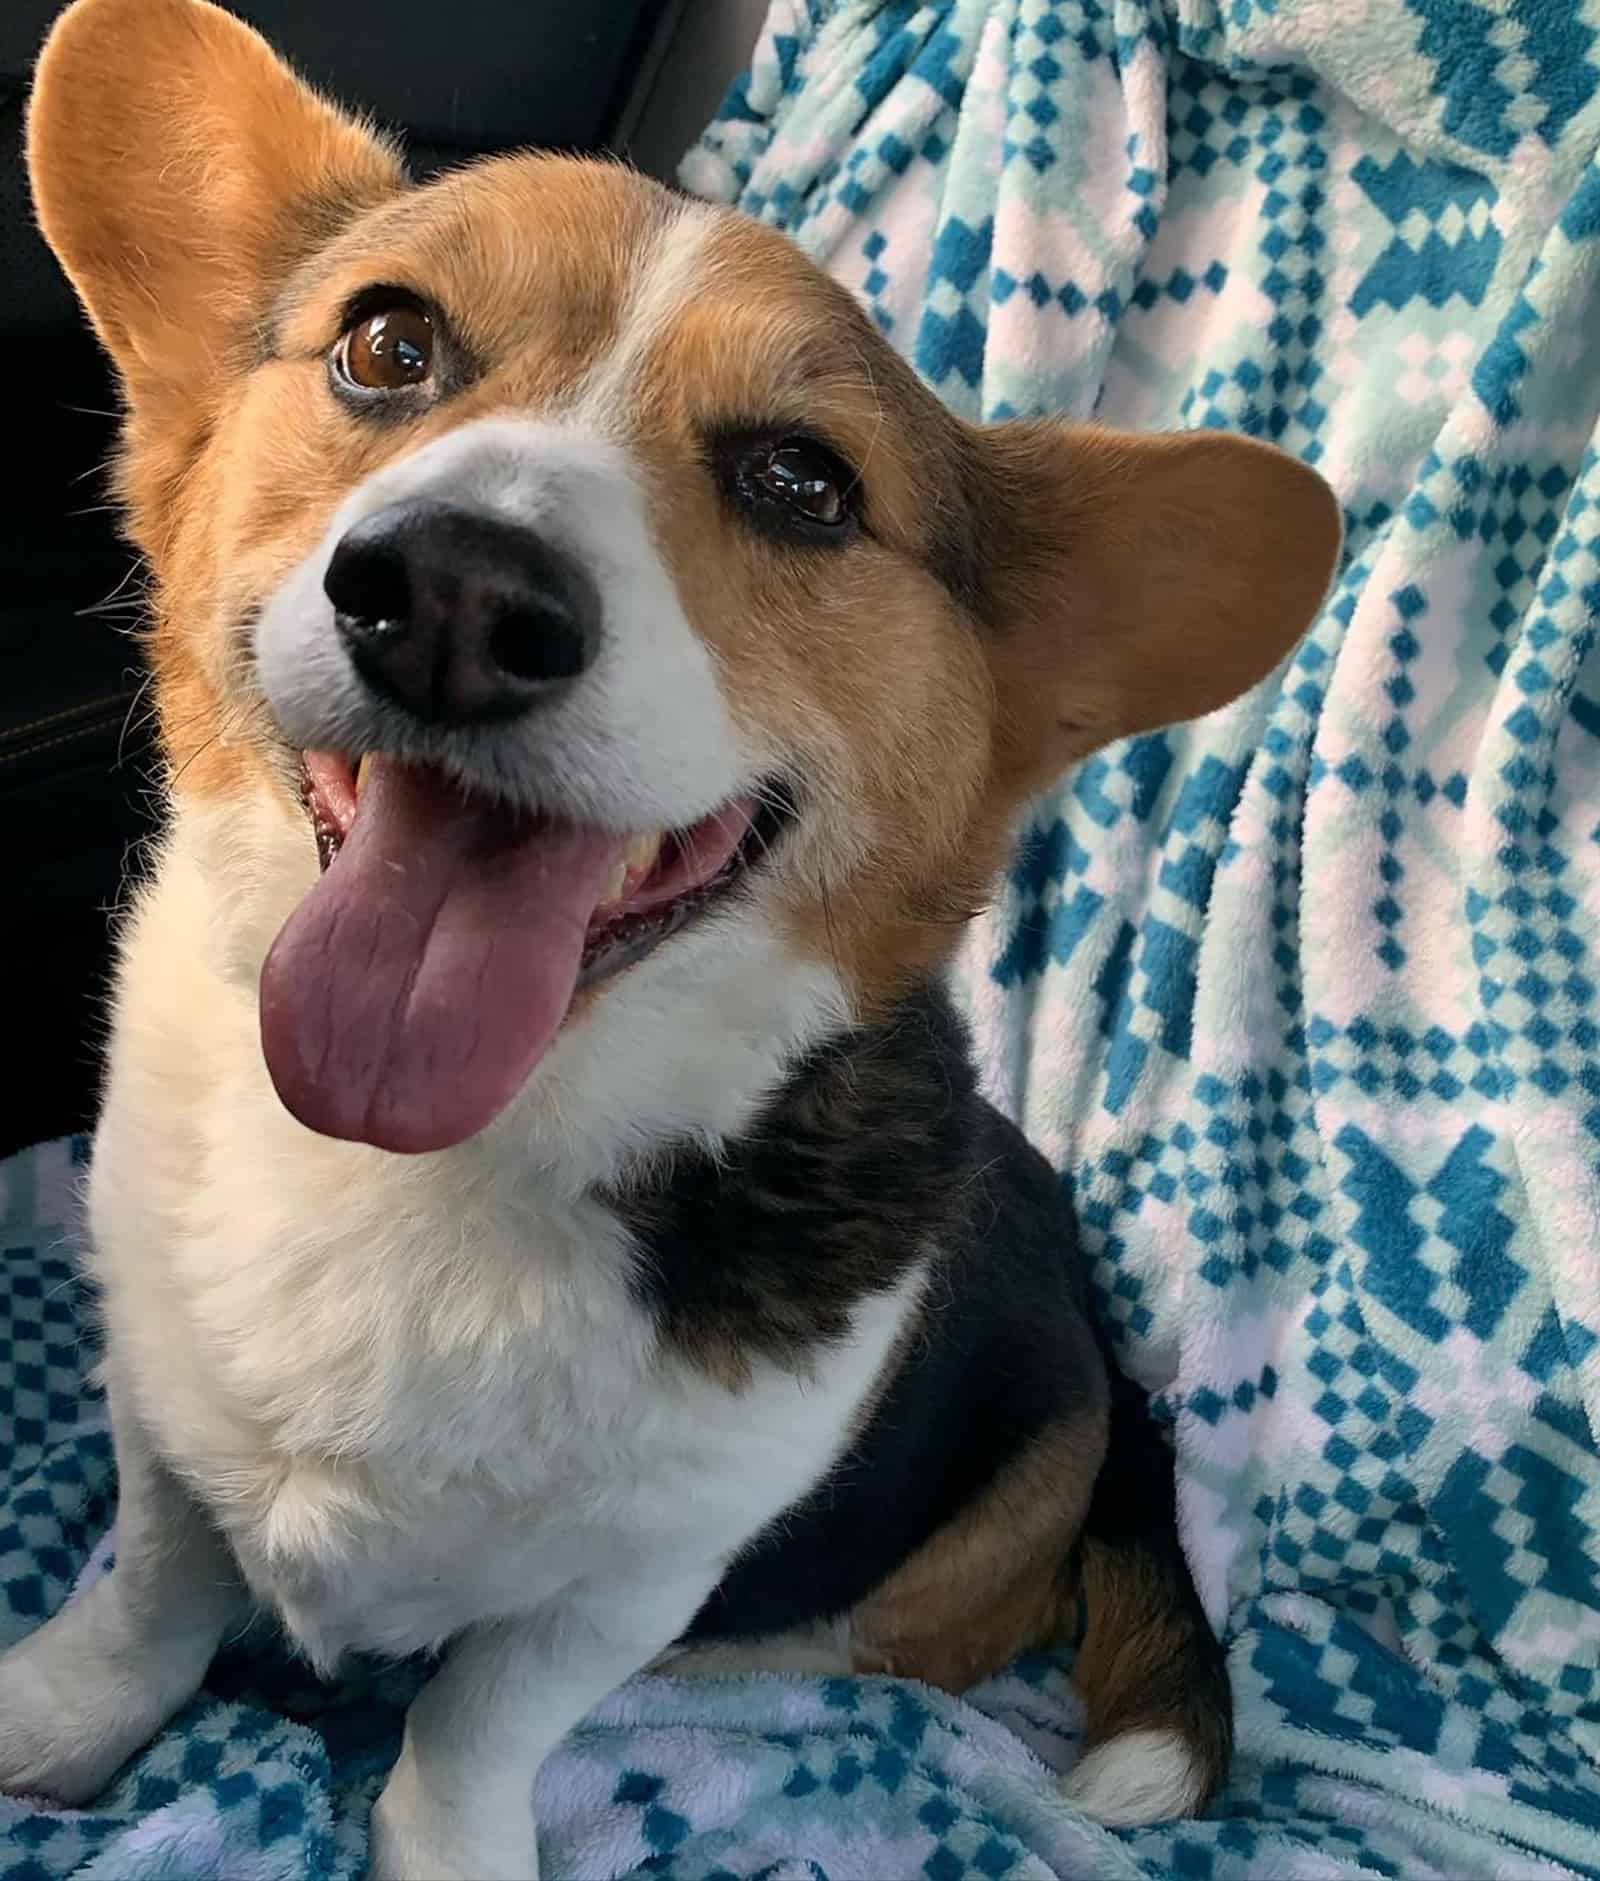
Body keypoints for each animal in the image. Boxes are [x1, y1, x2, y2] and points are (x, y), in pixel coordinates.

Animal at [6, 0, 1346, 1873]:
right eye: (387, 346)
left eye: (802, 479)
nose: (454, 595)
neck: (435, 1164)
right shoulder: (160, 1405)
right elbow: (150, 1584)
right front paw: (59, 1717)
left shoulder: (629, 1582)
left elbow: (476, 1720)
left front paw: (444, 1837)